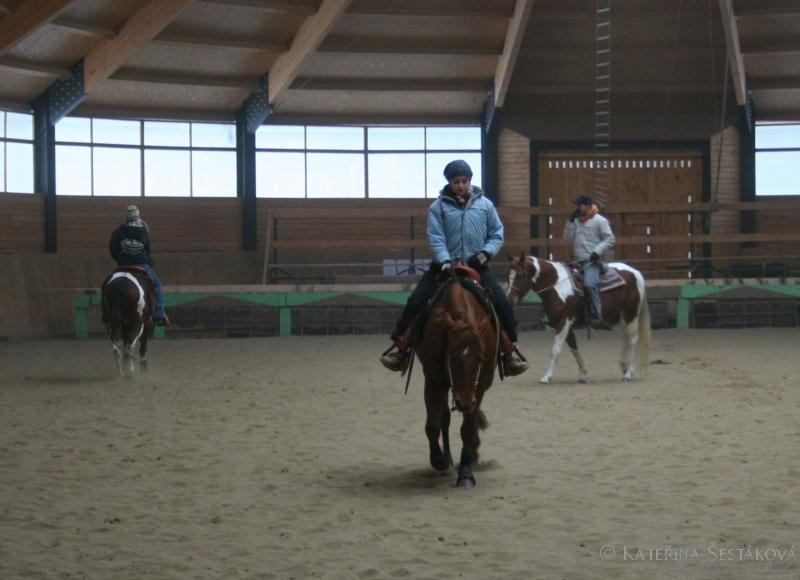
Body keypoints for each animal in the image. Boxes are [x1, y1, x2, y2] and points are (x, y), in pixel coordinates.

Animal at [413, 266, 499, 488]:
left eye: (480, 358)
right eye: (451, 357)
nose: (464, 402)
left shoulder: (480, 384)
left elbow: (467, 429)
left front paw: (466, 474)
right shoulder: (433, 380)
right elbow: (433, 424)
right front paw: (439, 459)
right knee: (444, 416)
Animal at [506, 253, 650, 384]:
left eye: (520, 274)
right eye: (508, 276)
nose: (510, 300)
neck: (556, 285)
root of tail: (635, 272)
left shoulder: (563, 322)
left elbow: (555, 350)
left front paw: (547, 377)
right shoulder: (564, 324)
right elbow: (574, 349)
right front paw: (583, 374)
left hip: (631, 314)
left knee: (633, 340)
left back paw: (629, 373)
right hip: (618, 317)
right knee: (625, 338)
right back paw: (623, 367)